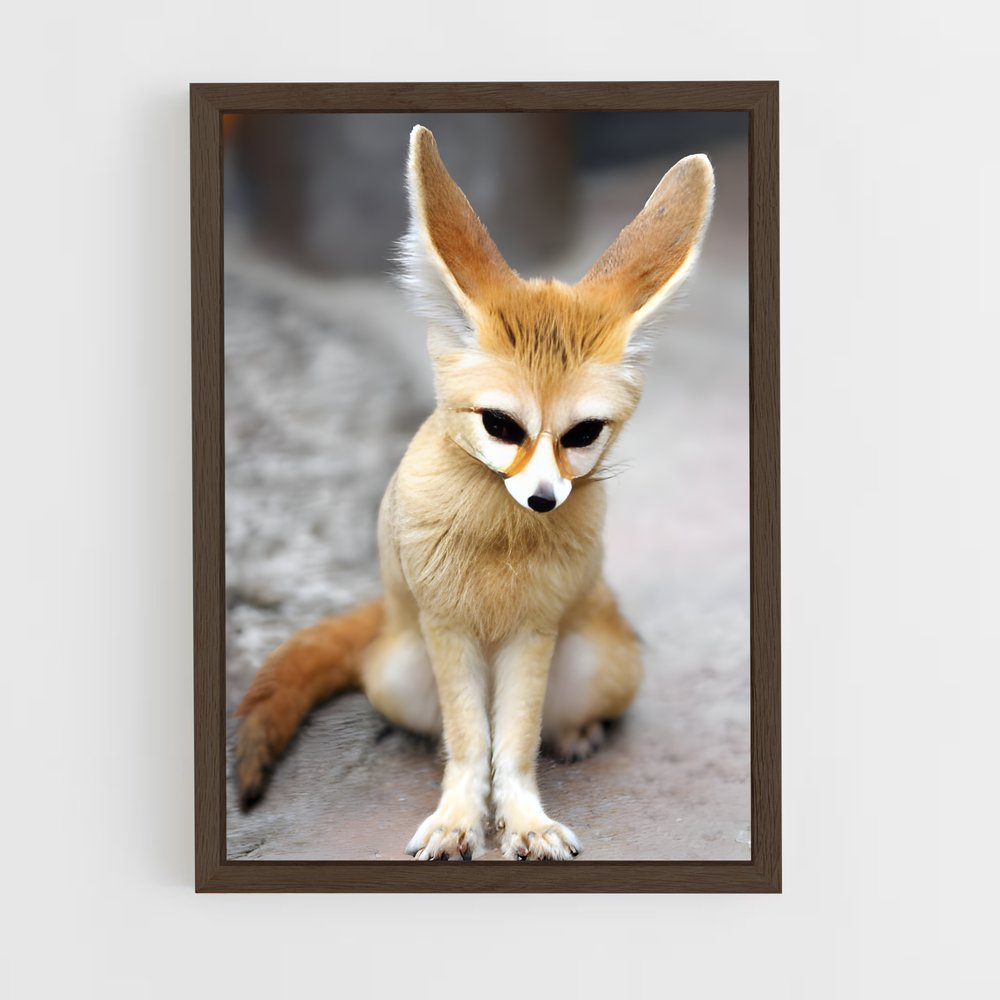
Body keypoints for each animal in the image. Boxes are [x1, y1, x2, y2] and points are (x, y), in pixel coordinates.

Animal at [234, 124, 715, 861]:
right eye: (500, 425)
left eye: (583, 433)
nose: (544, 499)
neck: (499, 543)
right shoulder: (448, 628)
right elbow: (471, 741)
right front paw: (461, 815)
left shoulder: (533, 631)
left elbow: (512, 745)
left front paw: (524, 821)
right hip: (401, 674)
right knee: (448, 728)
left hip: (600, 663)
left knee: (552, 720)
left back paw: (578, 733)